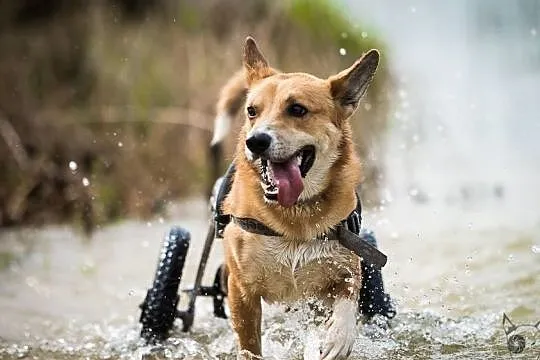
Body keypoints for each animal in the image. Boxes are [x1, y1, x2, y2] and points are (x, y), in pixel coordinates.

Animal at [214, 37, 380, 360]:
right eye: (252, 111)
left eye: (298, 109)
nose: (255, 141)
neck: (294, 215)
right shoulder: (241, 290)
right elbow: (249, 344)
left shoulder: (345, 269)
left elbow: (347, 303)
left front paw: (338, 339)